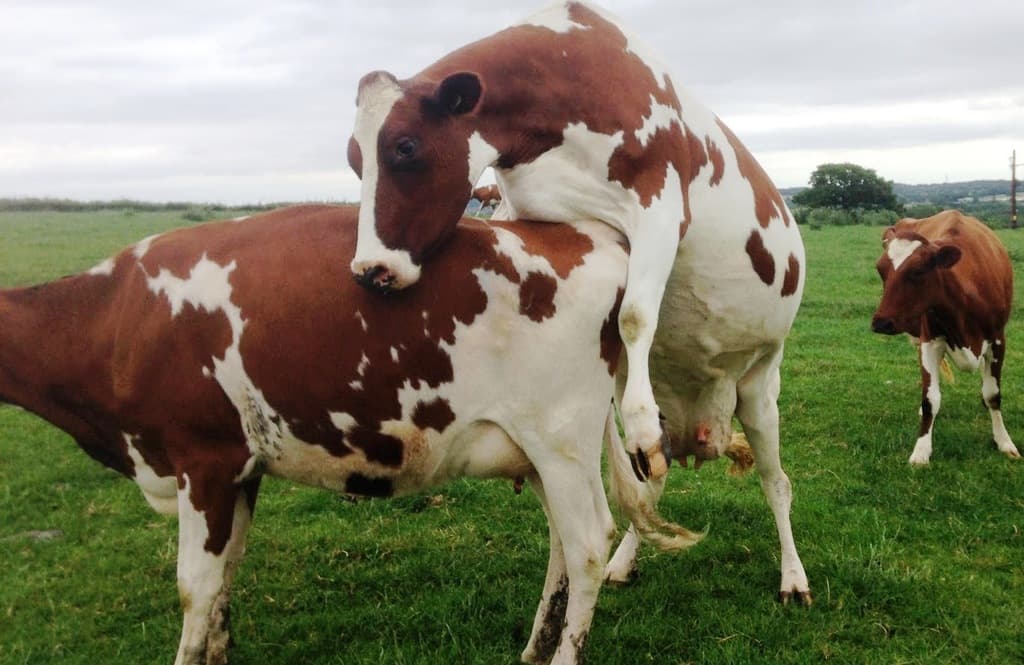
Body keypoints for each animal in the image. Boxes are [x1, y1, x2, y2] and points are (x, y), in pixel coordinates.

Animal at [0, 205, 697, 665]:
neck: (118, 319)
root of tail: (591, 234)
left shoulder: (203, 460)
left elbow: (194, 589)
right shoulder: (241, 470)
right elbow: (223, 580)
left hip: (559, 436)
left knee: (587, 545)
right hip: (545, 448)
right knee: (563, 545)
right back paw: (534, 648)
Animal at [346, 1, 811, 603]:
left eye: (405, 147)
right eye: (353, 159)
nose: (370, 271)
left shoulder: (660, 205)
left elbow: (635, 314)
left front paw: (636, 422)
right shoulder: (544, 216)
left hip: (759, 385)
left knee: (776, 480)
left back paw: (793, 576)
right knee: (651, 485)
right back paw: (624, 559)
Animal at [871, 209, 1021, 465]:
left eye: (918, 271)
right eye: (881, 270)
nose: (881, 322)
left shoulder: (998, 340)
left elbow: (993, 394)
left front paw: (1004, 442)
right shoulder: (929, 342)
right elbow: (930, 399)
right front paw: (921, 450)